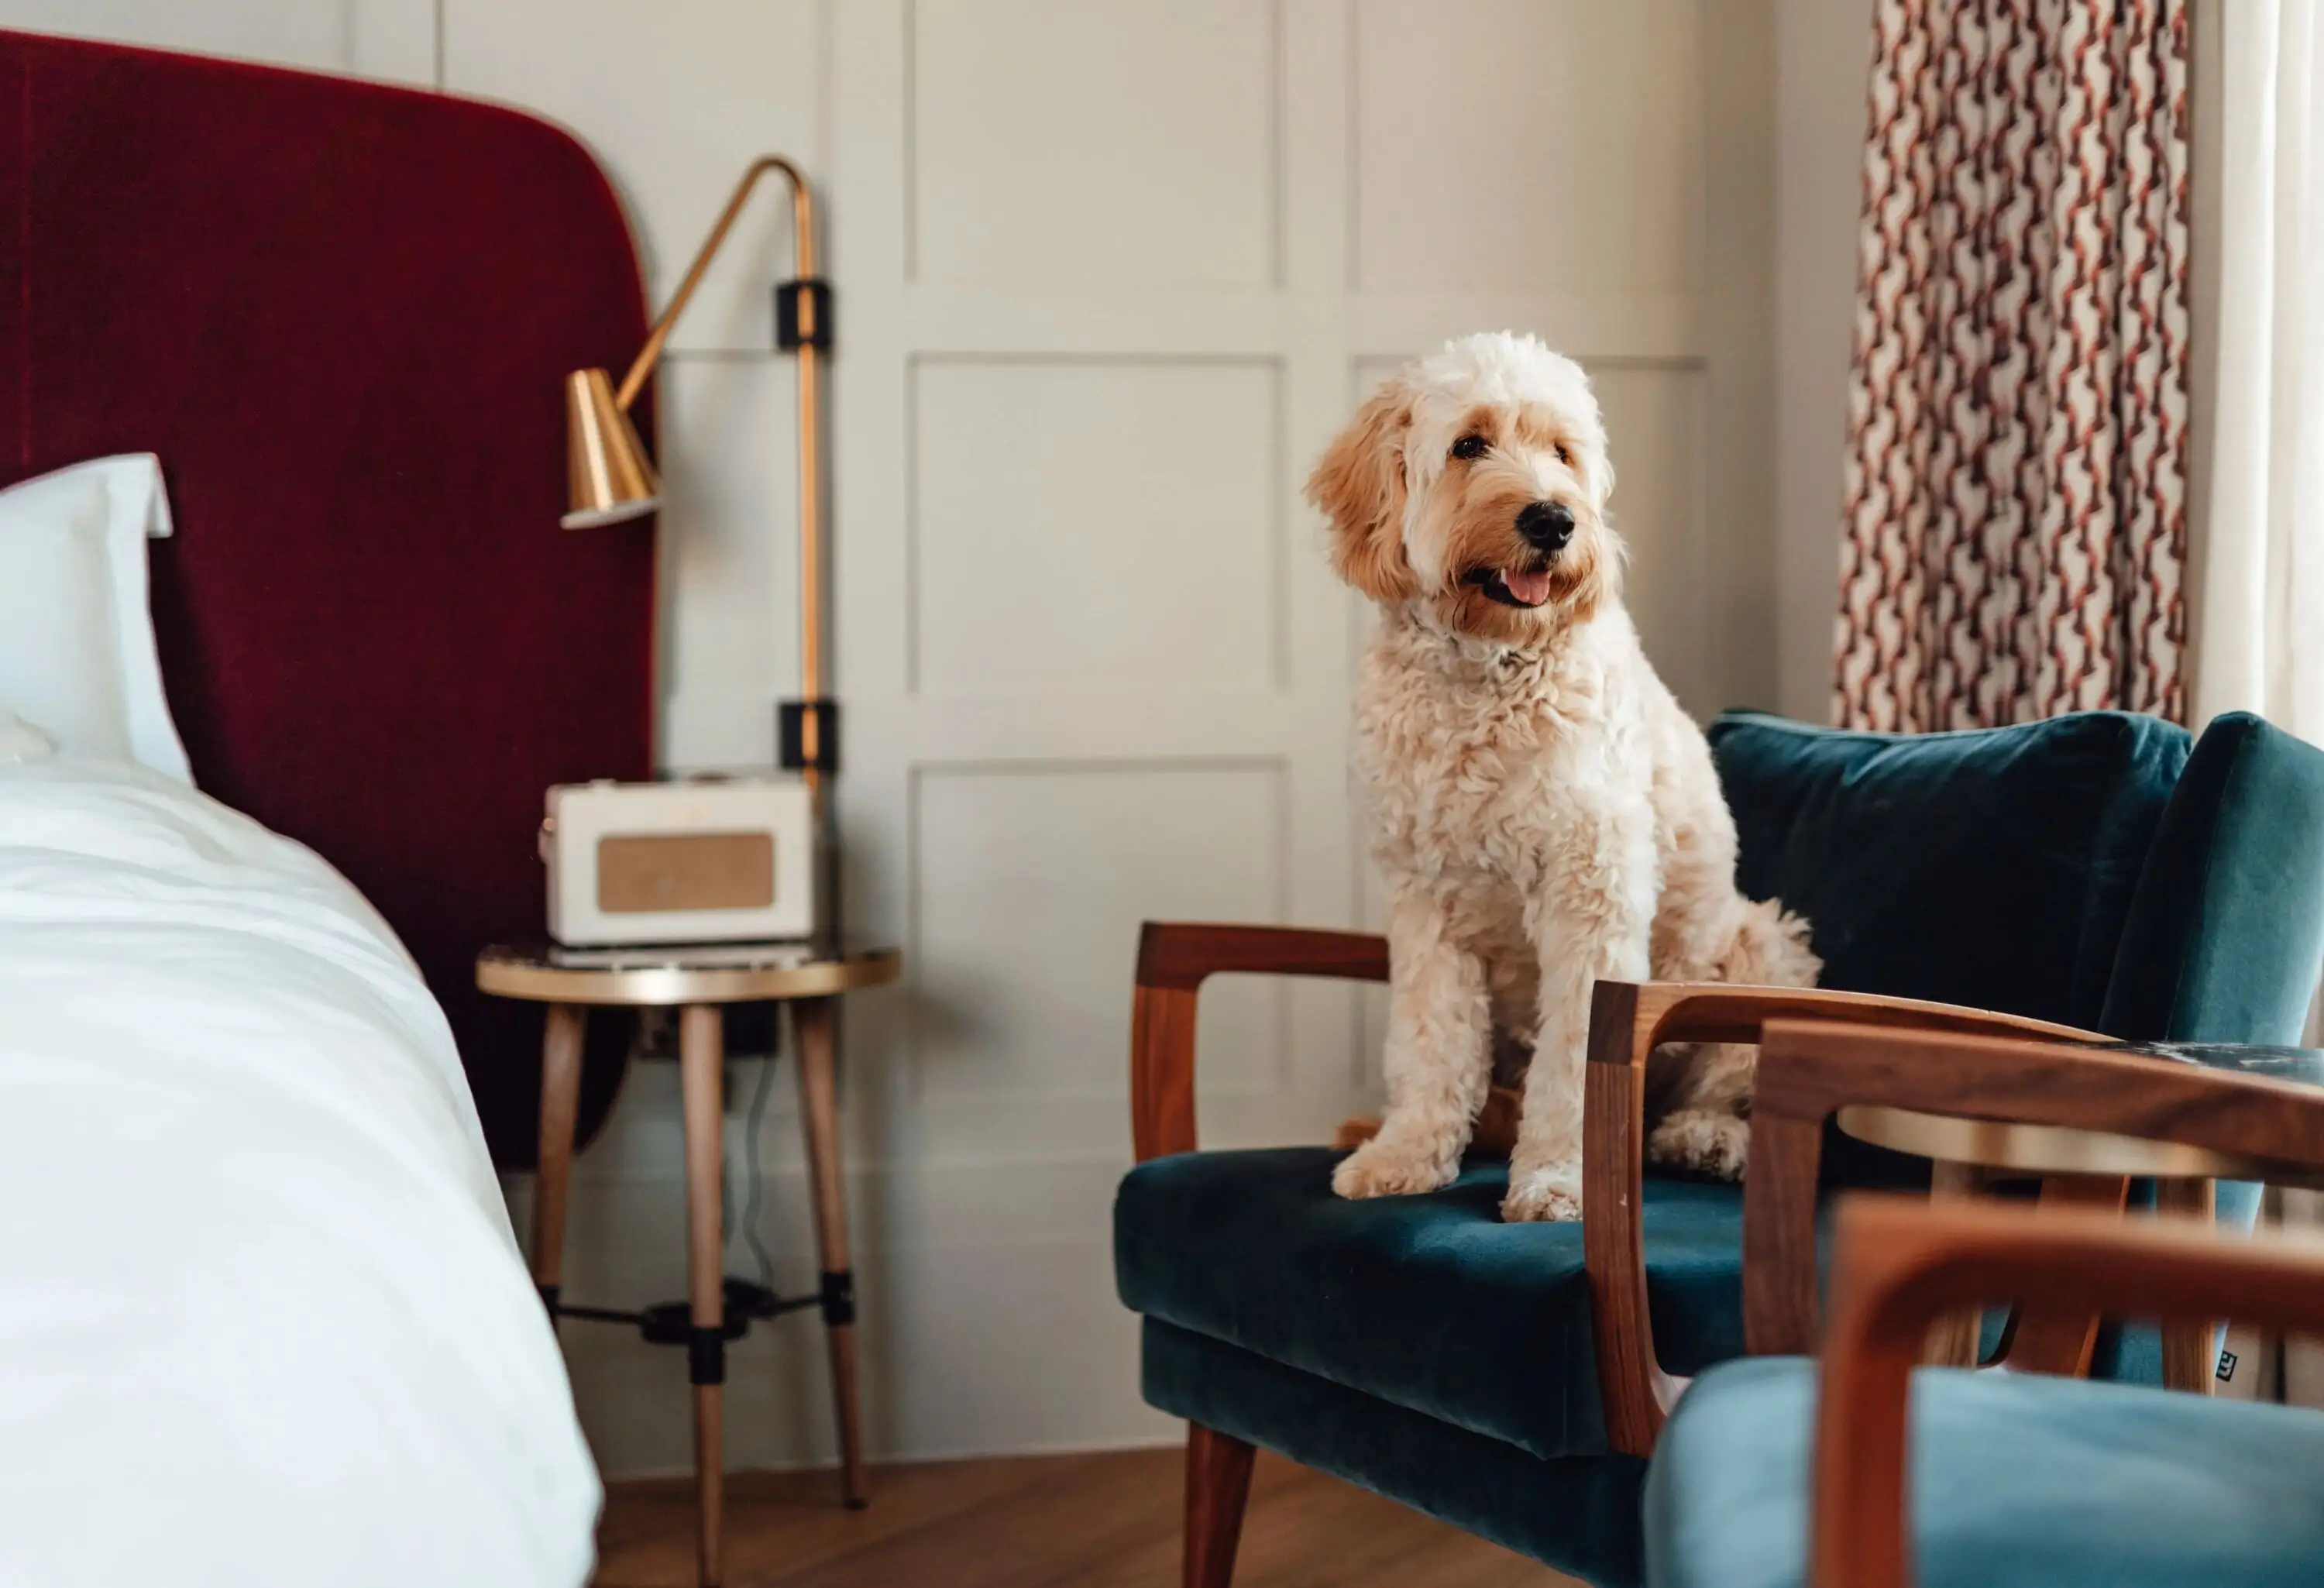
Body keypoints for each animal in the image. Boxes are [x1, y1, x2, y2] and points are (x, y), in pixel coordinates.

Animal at [1311, 330, 1813, 1227]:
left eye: (1561, 452)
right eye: (1469, 444)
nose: (1553, 519)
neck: (1487, 670)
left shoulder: (1592, 893)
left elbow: (1575, 1059)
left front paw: (1557, 1180)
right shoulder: (1426, 904)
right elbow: (1430, 1041)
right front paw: (1405, 1155)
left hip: (1760, 945)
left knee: (1725, 1092)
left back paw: (1702, 1138)